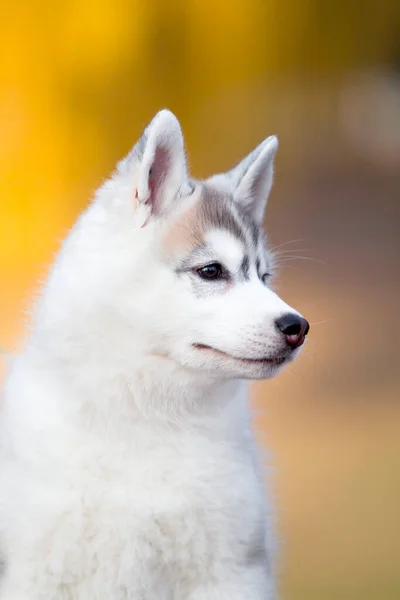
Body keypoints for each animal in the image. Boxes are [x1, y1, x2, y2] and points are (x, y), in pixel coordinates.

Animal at [0, 110, 310, 596]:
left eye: (265, 277)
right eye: (211, 271)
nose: (297, 327)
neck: (147, 419)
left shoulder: (230, 571)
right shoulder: (34, 572)